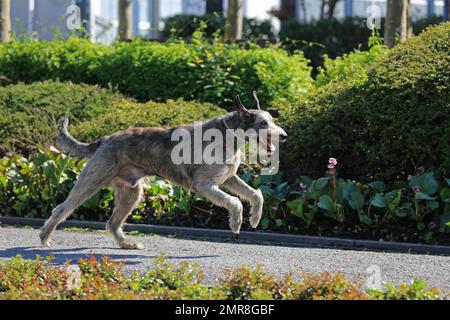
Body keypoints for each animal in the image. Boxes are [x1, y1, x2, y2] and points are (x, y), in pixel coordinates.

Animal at [41, 94, 288, 249]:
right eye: (263, 123)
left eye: (272, 120)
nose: (284, 136)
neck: (229, 137)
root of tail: (103, 139)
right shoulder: (203, 184)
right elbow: (234, 202)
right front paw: (236, 223)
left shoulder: (229, 178)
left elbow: (255, 194)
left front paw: (255, 218)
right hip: (91, 181)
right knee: (62, 208)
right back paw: (44, 237)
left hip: (132, 192)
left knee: (112, 222)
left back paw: (127, 244)